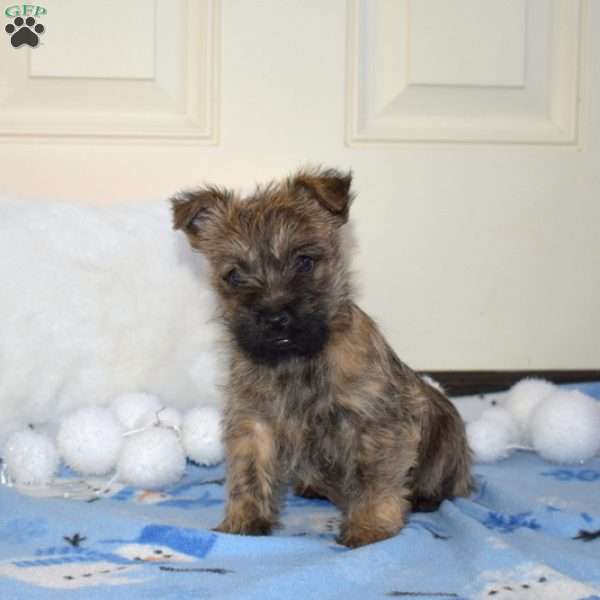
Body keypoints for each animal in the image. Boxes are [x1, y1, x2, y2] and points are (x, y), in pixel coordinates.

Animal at [171, 166, 472, 548]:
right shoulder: (254, 422)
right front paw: (242, 523)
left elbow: (372, 477)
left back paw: (426, 497)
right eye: (234, 276)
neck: (296, 361)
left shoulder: (375, 421)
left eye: (304, 261)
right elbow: (247, 474)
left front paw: (370, 528)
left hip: (447, 433)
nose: (275, 317)